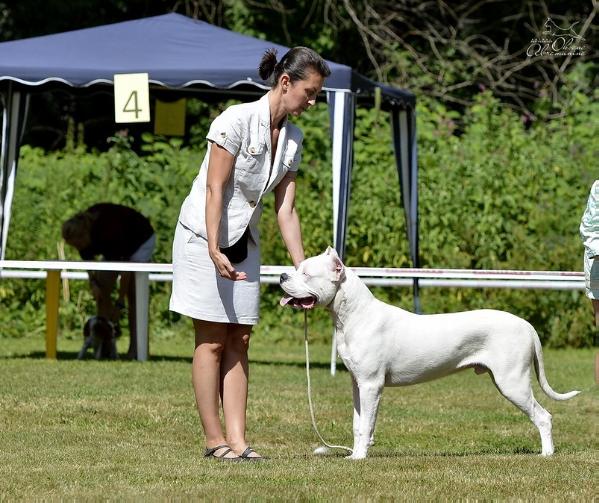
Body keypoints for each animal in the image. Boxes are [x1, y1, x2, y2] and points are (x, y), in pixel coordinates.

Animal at [282, 248, 580, 460]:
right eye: (298, 269)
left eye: (306, 274)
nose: (283, 276)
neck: (355, 315)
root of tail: (527, 325)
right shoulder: (358, 384)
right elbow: (358, 424)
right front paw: (355, 454)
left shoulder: (371, 385)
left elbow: (366, 424)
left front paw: (360, 458)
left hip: (513, 382)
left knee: (543, 416)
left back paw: (546, 454)